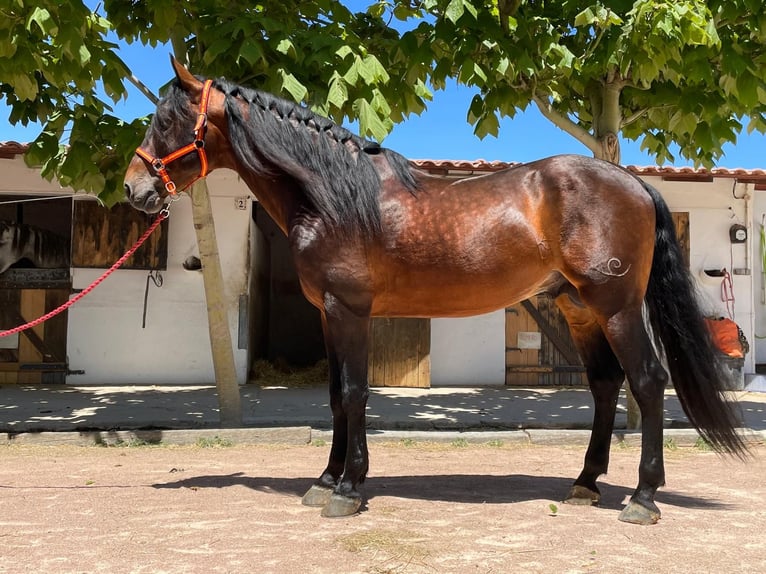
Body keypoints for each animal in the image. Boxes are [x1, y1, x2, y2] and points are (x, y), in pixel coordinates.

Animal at [123, 58, 748, 528]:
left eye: (168, 118)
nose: (135, 189)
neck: (334, 195)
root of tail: (634, 183)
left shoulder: (348, 312)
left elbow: (355, 393)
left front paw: (347, 490)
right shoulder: (329, 315)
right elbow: (335, 397)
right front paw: (325, 480)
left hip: (614, 307)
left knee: (646, 381)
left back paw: (642, 498)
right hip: (579, 310)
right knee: (603, 385)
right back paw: (585, 483)